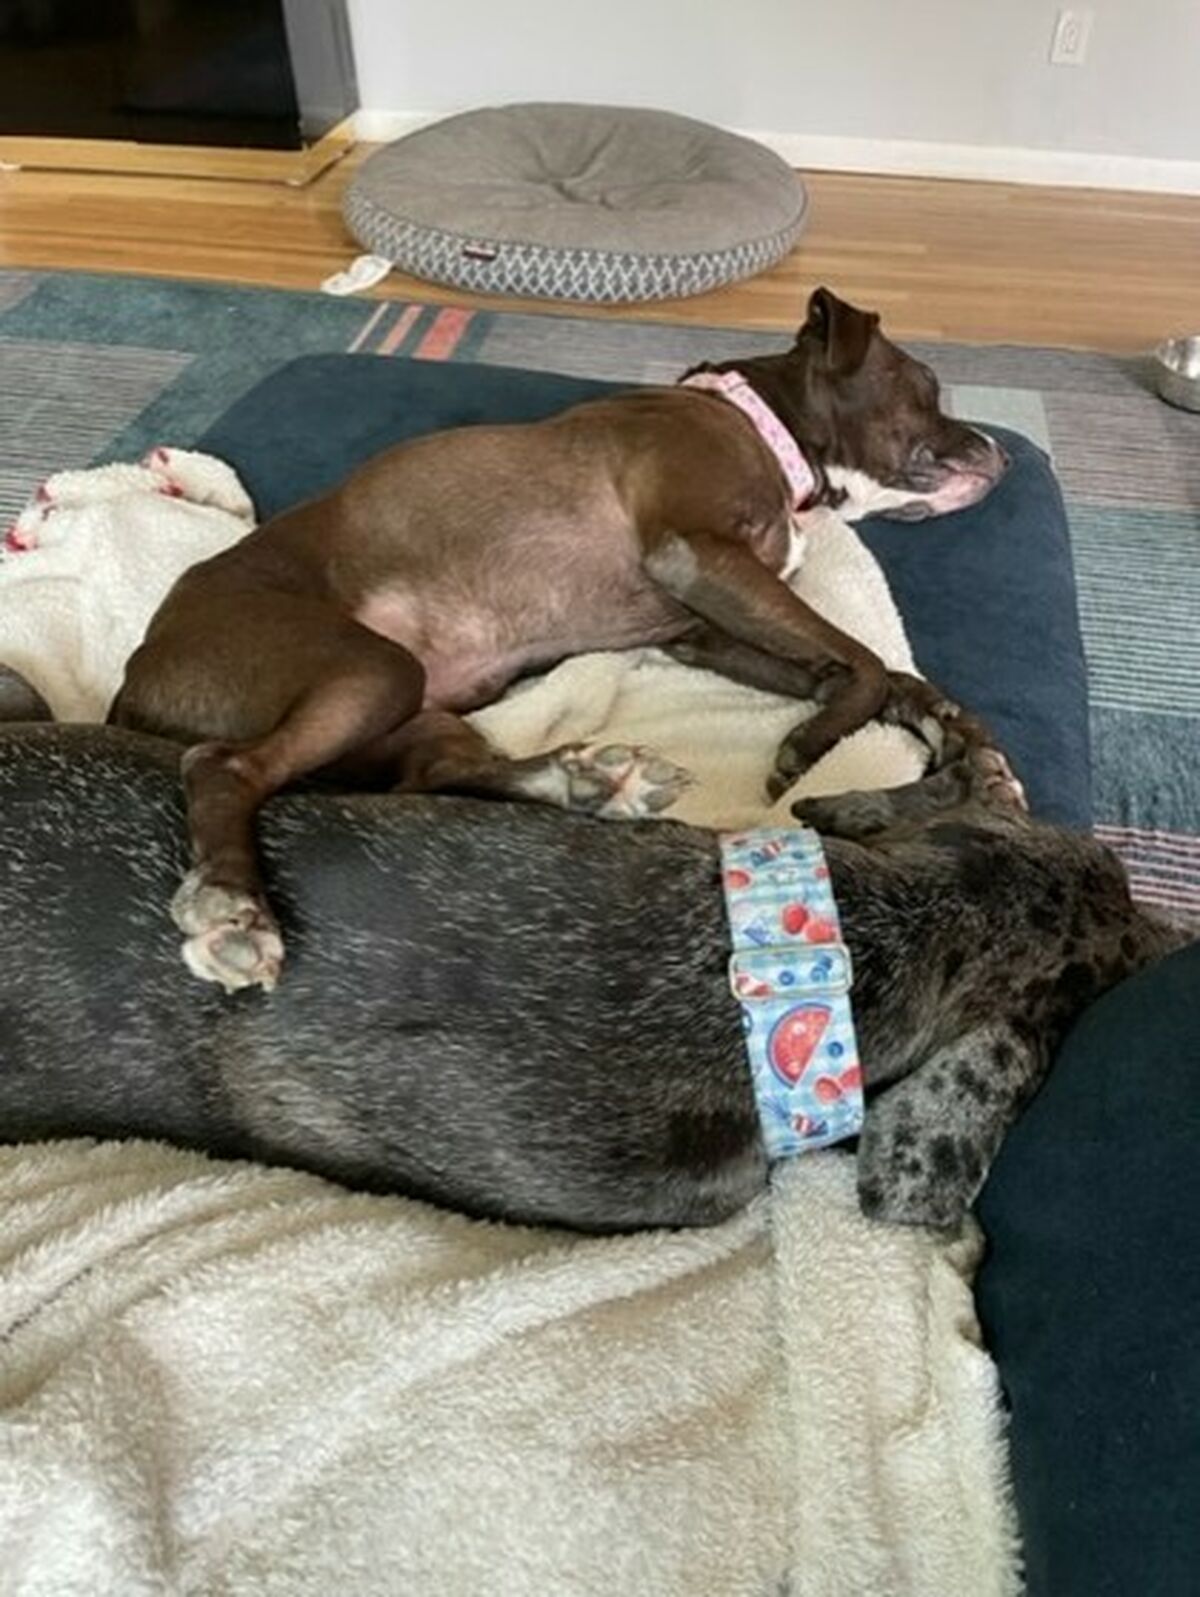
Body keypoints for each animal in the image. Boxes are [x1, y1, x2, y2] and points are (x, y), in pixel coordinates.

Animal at [107, 287, 1007, 992]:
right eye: (927, 388)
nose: (1000, 448)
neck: (760, 424)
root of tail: (138, 670)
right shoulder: (697, 556)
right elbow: (861, 660)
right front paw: (809, 746)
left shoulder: (703, 627)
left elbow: (858, 668)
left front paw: (949, 729)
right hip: (368, 668)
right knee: (227, 767)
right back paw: (235, 909)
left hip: (416, 712)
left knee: (433, 775)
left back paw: (587, 784)